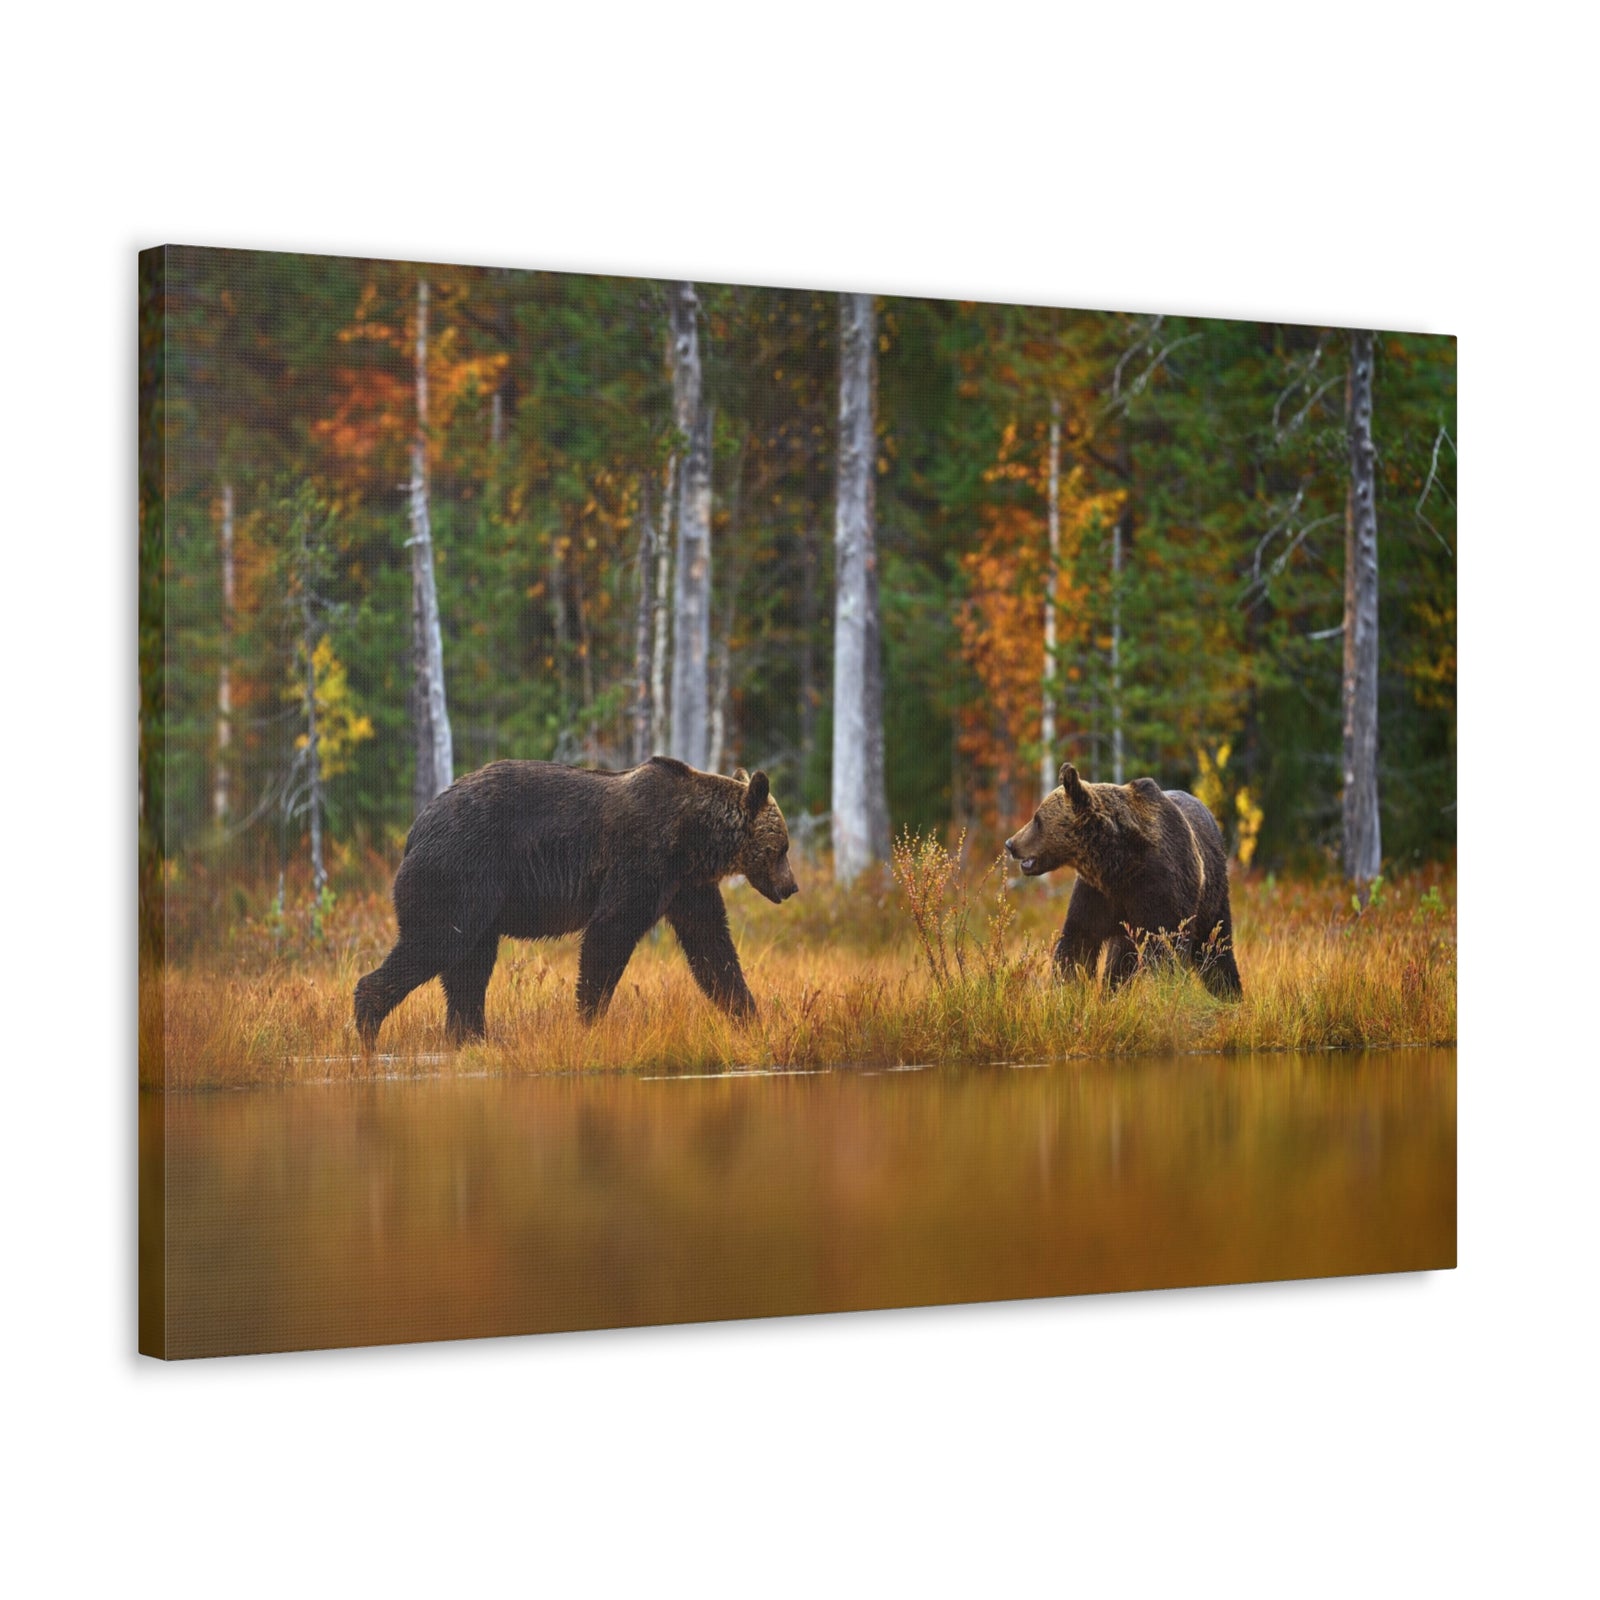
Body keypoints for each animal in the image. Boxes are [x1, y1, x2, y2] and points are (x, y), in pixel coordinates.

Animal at [354, 756, 798, 1048]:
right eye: (782, 848)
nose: (791, 886)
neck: (693, 839)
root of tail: (417, 826)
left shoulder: (686, 886)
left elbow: (712, 948)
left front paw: (750, 1017)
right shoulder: (641, 861)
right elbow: (609, 933)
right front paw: (588, 1021)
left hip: (479, 900)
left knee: (469, 967)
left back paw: (472, 1037)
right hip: (460, 871)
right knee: (437, 942)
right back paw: (369, 1025)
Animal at [1004, 762, 1242, 998]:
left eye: (1037, 819)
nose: (1010, 843)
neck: (1118, 864)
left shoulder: (1159, 886)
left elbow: (1166, 945)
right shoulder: (1098, 893)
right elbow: (1079, 939)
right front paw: (1068, 987)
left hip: (1212, 892)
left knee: (1215, 942)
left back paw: (1229, 992)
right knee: (1121, 957)